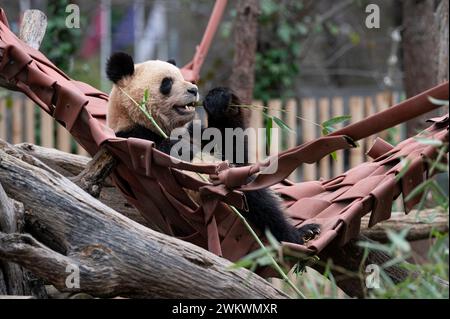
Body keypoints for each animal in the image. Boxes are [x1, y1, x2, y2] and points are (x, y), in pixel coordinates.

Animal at [105, 52, 320, 246]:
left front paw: (220, 99)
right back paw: (296, 235)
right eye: (167, 83)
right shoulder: (139, 137)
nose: (193, 89)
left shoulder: (195, 131)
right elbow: (192, 161)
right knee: (256, 199)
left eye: (183, 76)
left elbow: (234, 151)